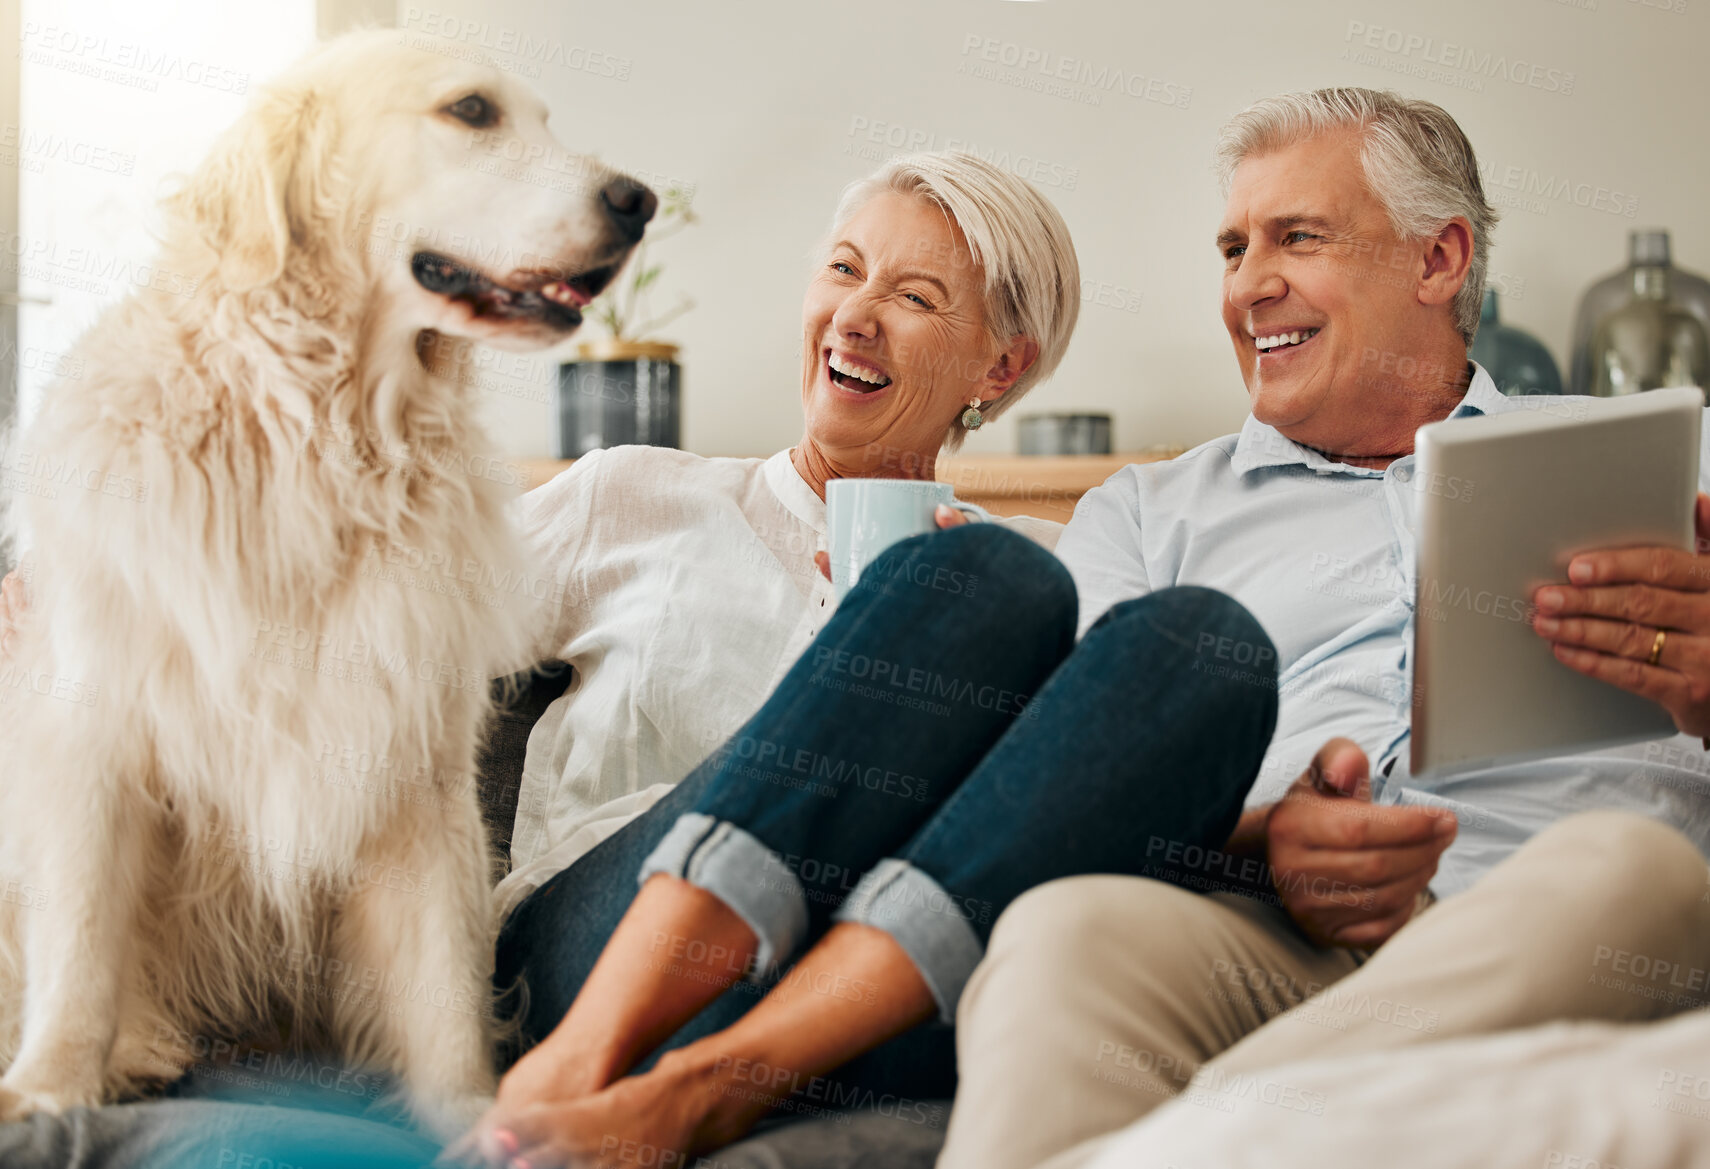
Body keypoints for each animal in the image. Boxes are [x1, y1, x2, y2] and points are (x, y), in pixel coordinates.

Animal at [0, 29, 649, 1134]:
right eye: (471, 112)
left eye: (543, 119)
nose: (639, 199)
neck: (318, 436)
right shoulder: (94, 740)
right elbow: (80, 944)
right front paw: (48, 1091)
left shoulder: (416, 760)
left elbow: (441, 977)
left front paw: (468, 1111)